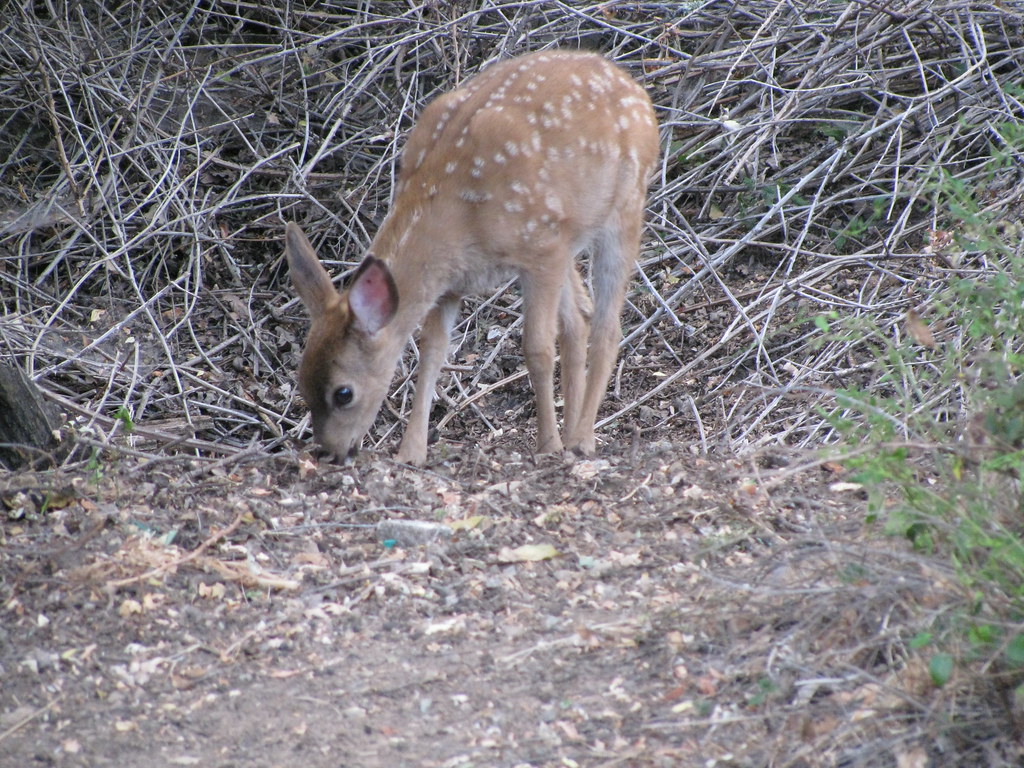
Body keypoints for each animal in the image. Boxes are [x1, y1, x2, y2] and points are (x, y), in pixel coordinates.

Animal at [285, 49, 658, 465]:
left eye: (343, 393)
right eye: (301, 380)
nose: (330, 451)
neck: (456, 216)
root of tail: (634, 87)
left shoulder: (539, 249)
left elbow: (537, 349)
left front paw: (547, 445)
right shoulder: (451, 284)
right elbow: (431, 354)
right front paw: (411, 452)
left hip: (624, 206)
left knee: (607, 326)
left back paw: (581, 439)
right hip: (570, 235)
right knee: (579, 320)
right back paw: (575, 429)